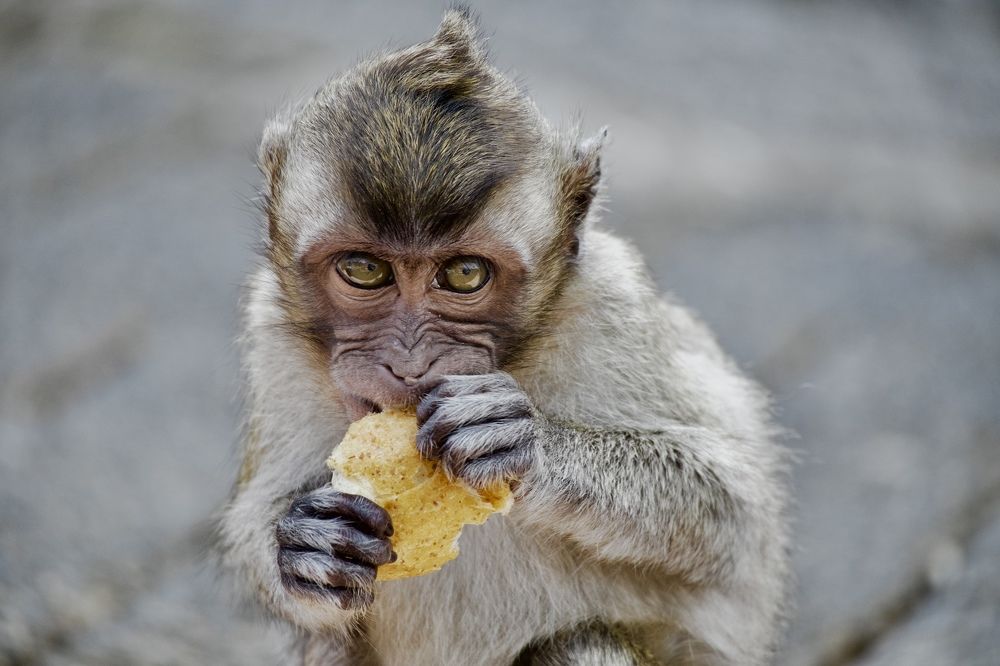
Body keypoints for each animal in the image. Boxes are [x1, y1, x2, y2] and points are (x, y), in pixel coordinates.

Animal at [219, 8, 790, 666]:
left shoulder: (612, 307)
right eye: (365, 270)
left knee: (582, 642)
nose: (409, 365)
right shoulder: (271, 337)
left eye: (465, 274)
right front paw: (302, 546)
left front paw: (526, 442)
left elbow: (735, 515)